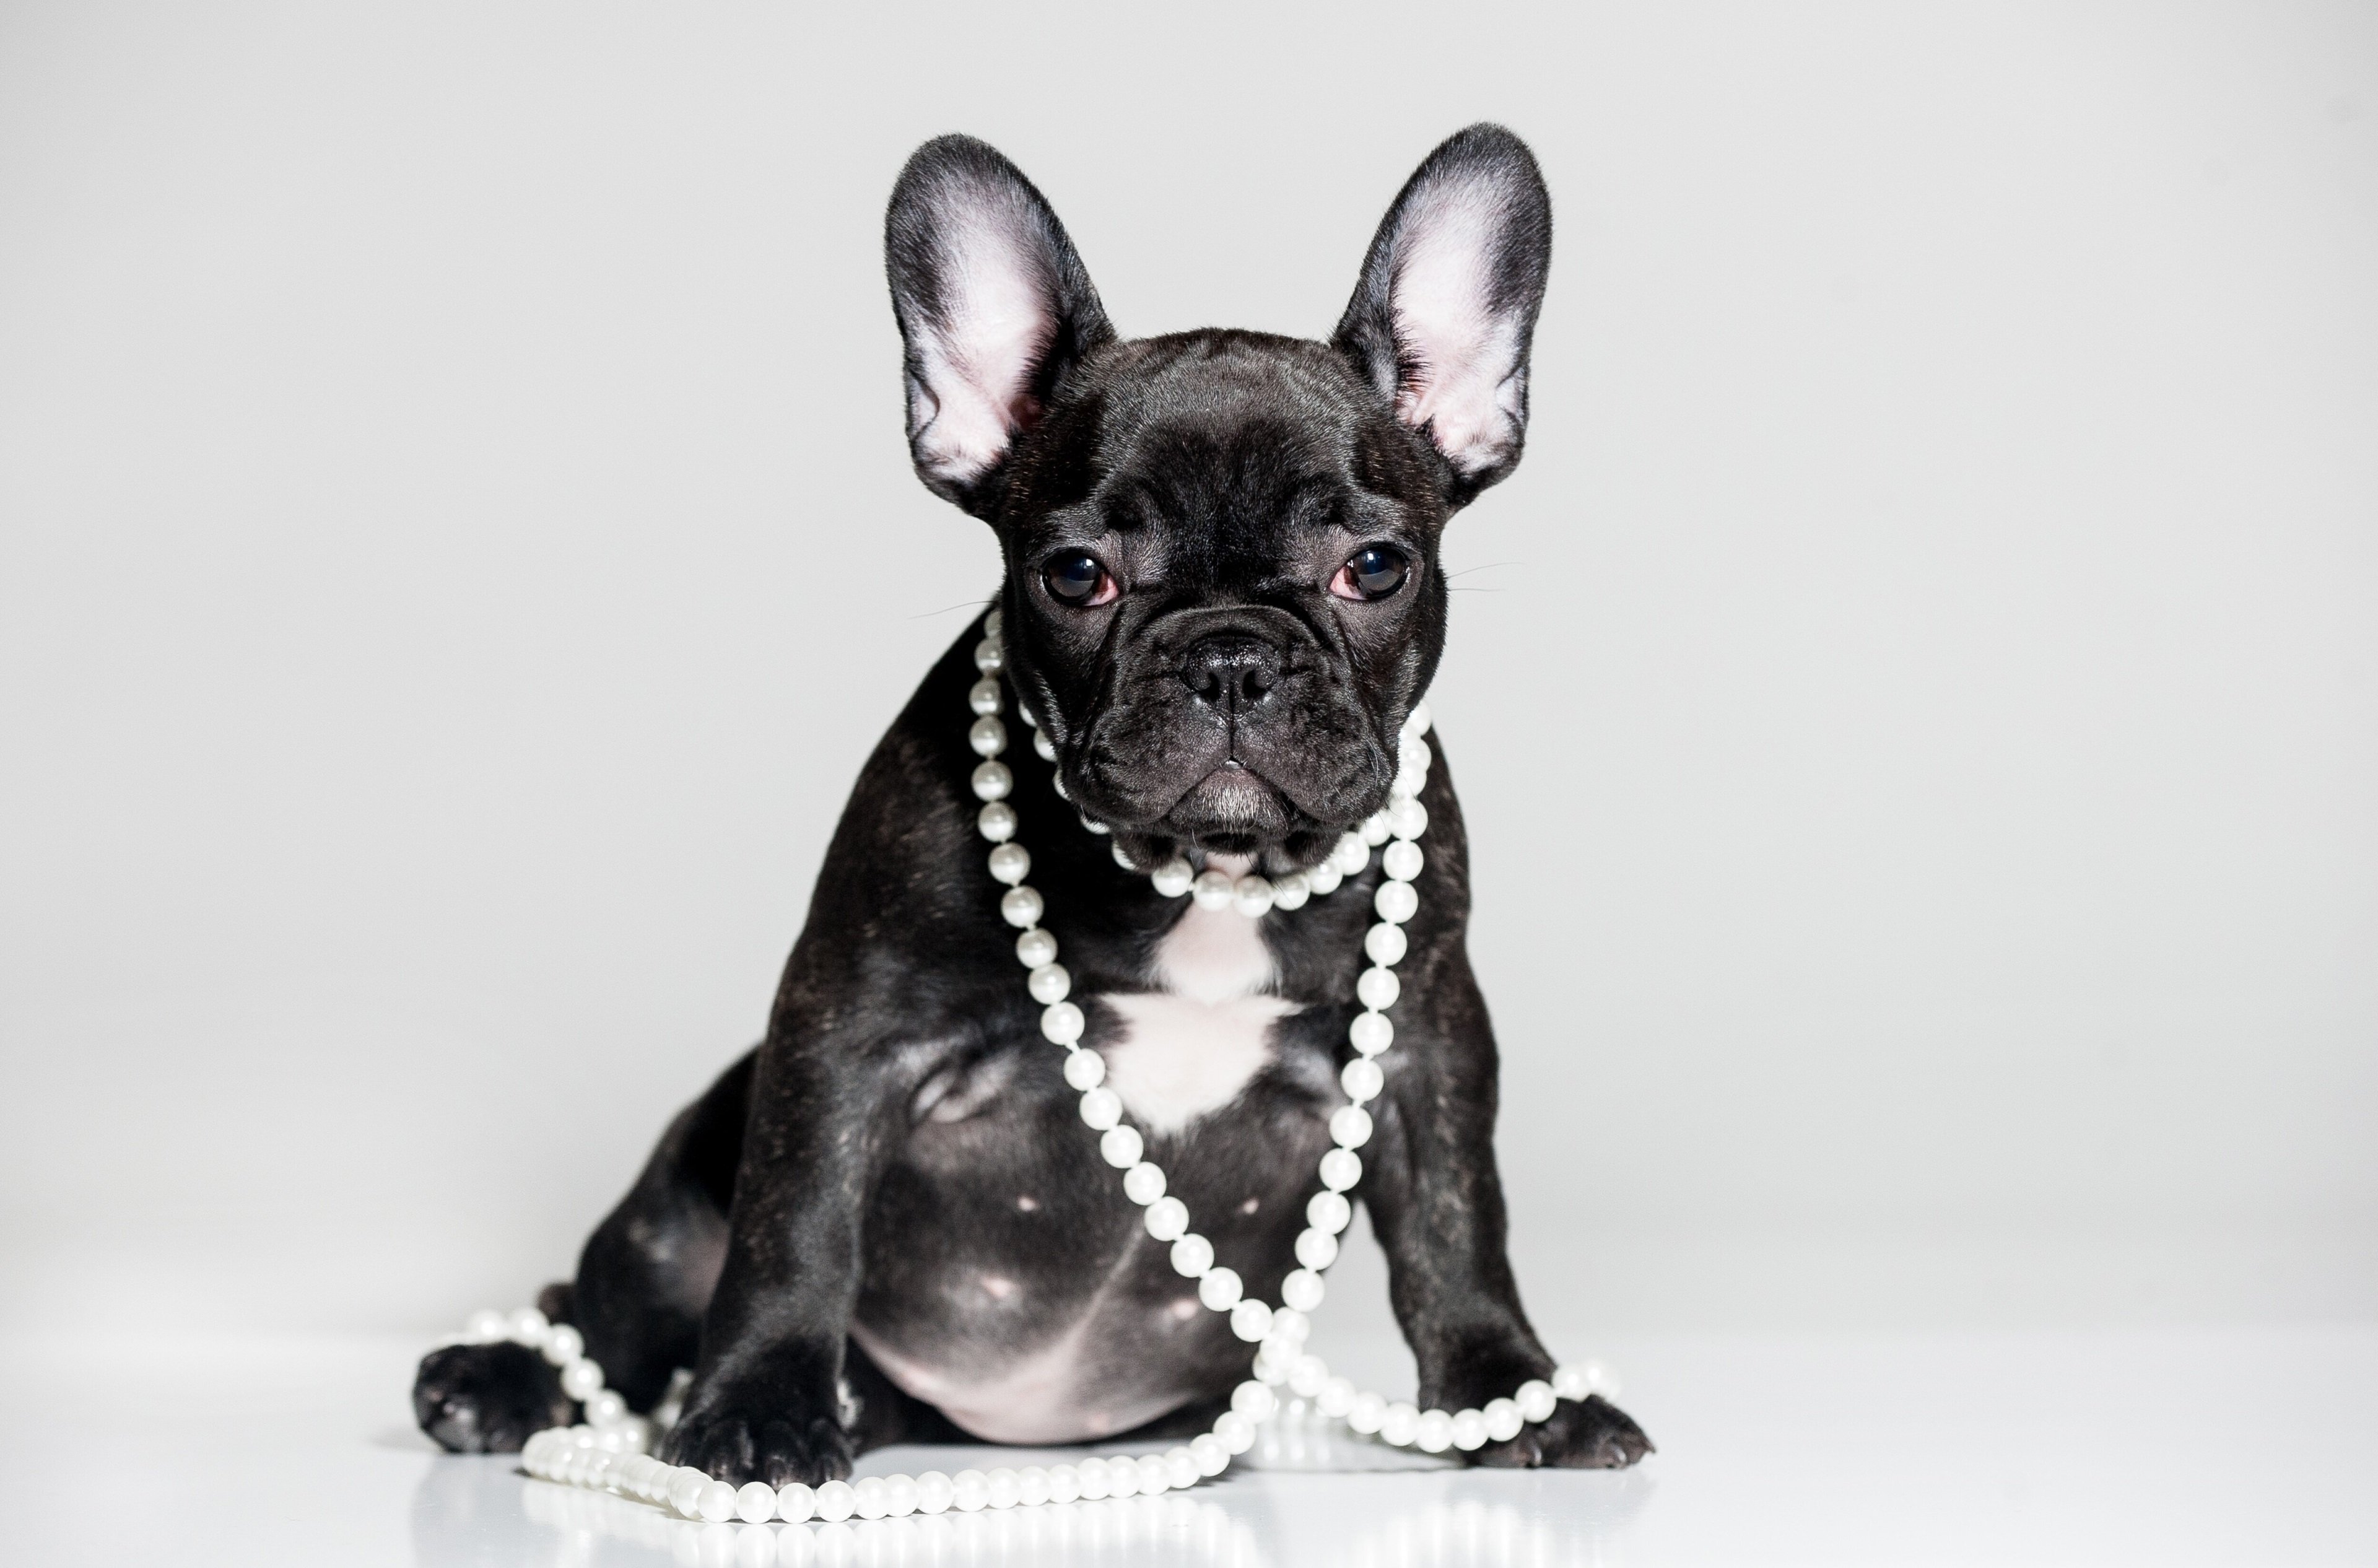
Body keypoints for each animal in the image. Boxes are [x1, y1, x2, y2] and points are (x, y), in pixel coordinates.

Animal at [413, 123, 1652, 1482]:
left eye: (1374, 568)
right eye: (1077, 575)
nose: (1230, 656)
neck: (1204, 874)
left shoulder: (1427, 1041)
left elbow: (1455, 1226)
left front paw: (1515, 1395)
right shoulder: (847, 1027)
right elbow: (797, 1228)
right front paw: (757, 1408)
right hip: (684, 1180)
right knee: (608, 1310)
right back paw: (509, 1378)